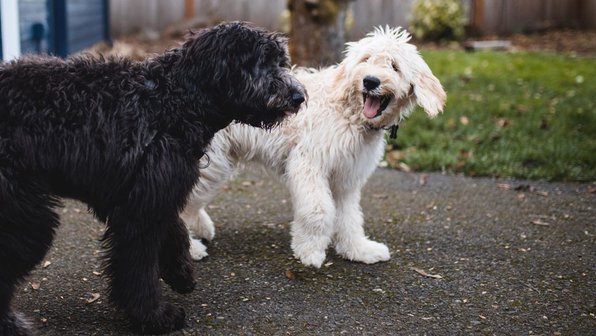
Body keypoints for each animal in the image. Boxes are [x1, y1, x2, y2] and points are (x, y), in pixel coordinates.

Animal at [0, 22, 304, 334]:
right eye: (260, 63)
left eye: (280, 61)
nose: (298, 97)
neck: (170, 102)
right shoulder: (140, 210)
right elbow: (139, 268)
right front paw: (155, 316)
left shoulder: (154, 194)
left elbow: (176, 230)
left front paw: (181, 274)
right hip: (26, 219)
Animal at [182, 26, 448, 268]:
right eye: (365, 59)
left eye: (394, 66)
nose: (370, 81)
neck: (348, 113)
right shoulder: (308, 163)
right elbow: (318, 210)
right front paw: (309, 251)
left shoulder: (346, 177)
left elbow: (349, 216)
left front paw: (358, 249)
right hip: (210, 162)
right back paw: (191, 248)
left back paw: (201, 229)